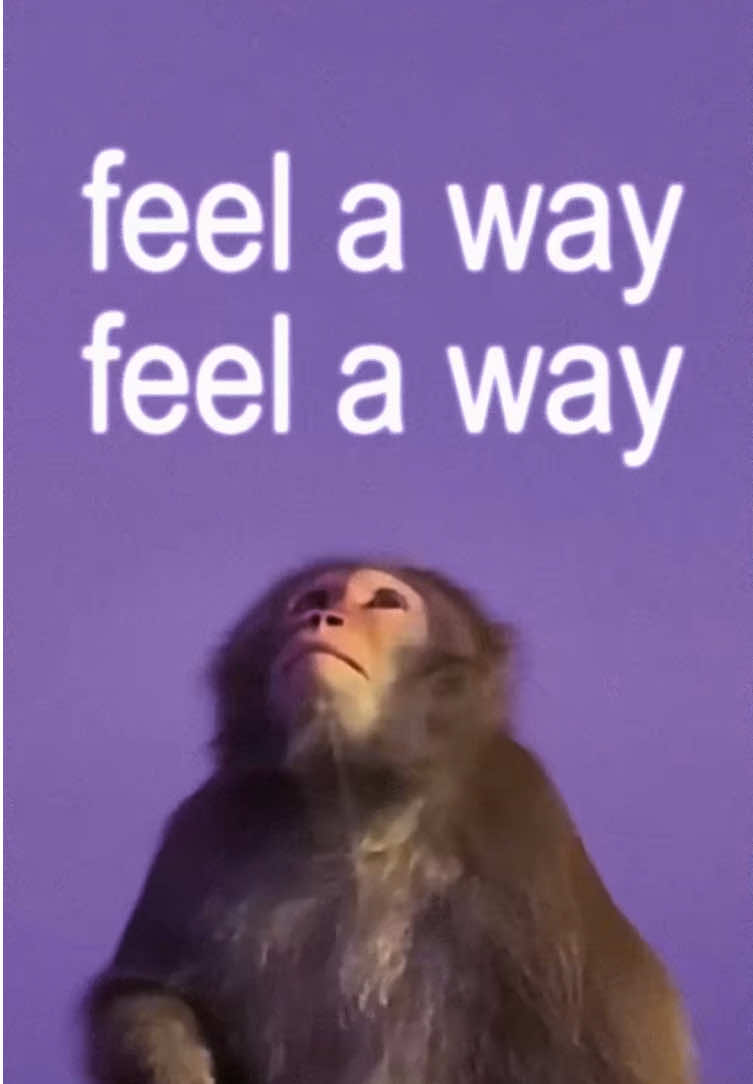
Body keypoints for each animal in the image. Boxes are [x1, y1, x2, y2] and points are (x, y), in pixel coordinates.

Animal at [86, 560, 696, 1084]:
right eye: (313, 599)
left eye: (384, 601)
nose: (320, 619)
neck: (358, 805)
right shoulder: (208, 824)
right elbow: (140, 992)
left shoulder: (523, 823)